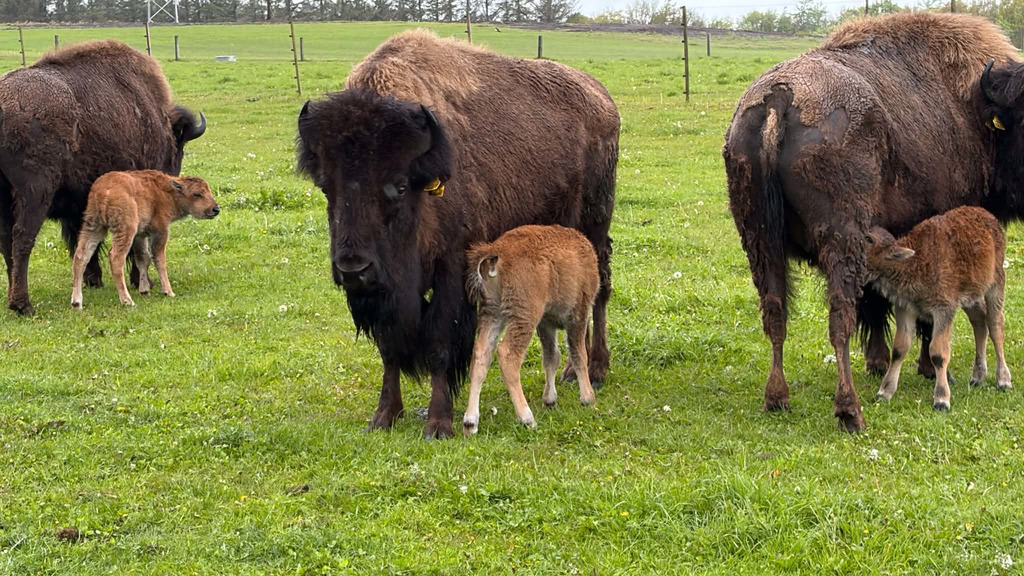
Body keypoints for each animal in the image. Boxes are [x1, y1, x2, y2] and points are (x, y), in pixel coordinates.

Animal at [0, 39, 206, 315]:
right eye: (179, 146)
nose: (172, 175)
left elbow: (83, 242)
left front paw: (93, 279)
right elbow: (136, 247)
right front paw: (142, 282)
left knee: (7, 241)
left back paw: (13, 299)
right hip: (35, 193)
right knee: (22, 238)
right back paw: (24, 304)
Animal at [296, 30, 619, 439]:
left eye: (399, 186)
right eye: (326, 186)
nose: (353, 268)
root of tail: (601, 96)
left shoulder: (452, 272)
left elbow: (439, 345)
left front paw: (439, 424)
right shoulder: (388, 294)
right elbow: (389, 349)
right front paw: (384, 417)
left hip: (595, 226)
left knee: (599, 293)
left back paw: (595, 369)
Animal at [723, 12, 1024, 431]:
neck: (973, 111)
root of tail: (779, 99)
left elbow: (878, 303)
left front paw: (880, 362)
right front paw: (922, 369)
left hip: (759, 242)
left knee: (775, 312)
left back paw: (777, 399)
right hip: (840, 239)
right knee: (839, 318)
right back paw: (850, 411)